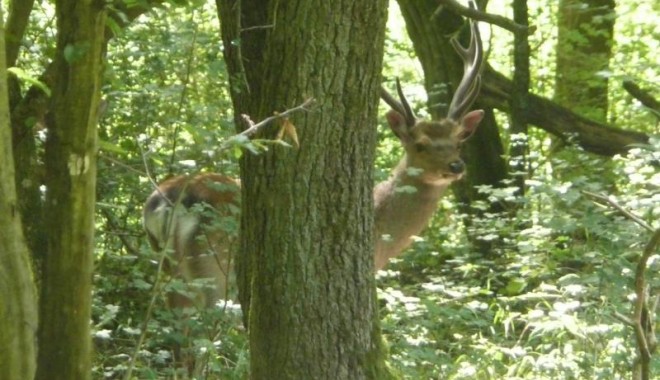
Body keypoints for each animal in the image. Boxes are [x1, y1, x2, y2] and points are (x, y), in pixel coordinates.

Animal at [143, 2, 484, 310]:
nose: (456, 166)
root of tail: (164, 201)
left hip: (171, 271)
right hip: (213, 267)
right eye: (420, 145)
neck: (379, 230)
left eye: (458, 141)